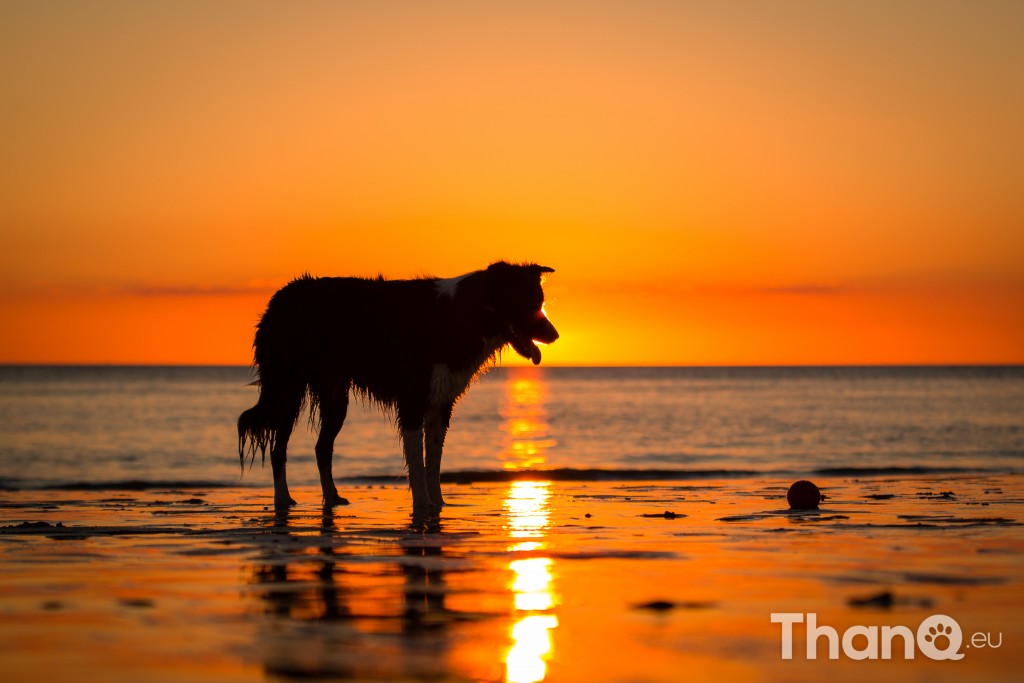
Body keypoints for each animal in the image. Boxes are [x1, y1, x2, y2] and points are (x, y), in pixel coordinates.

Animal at [237, 259, 561, 509]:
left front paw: (439, 504)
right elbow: (417, 463)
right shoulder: (413, 401)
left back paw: (332, 498)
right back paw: (283, 500)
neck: (464, 314)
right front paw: (423, 506)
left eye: (540, 302)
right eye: (525, 302)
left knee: (321, 447)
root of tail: (279, 296)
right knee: (279, 448)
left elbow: (434, 462)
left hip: (335, 396)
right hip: (287, 388)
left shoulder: (441, 404)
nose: (555, 335)